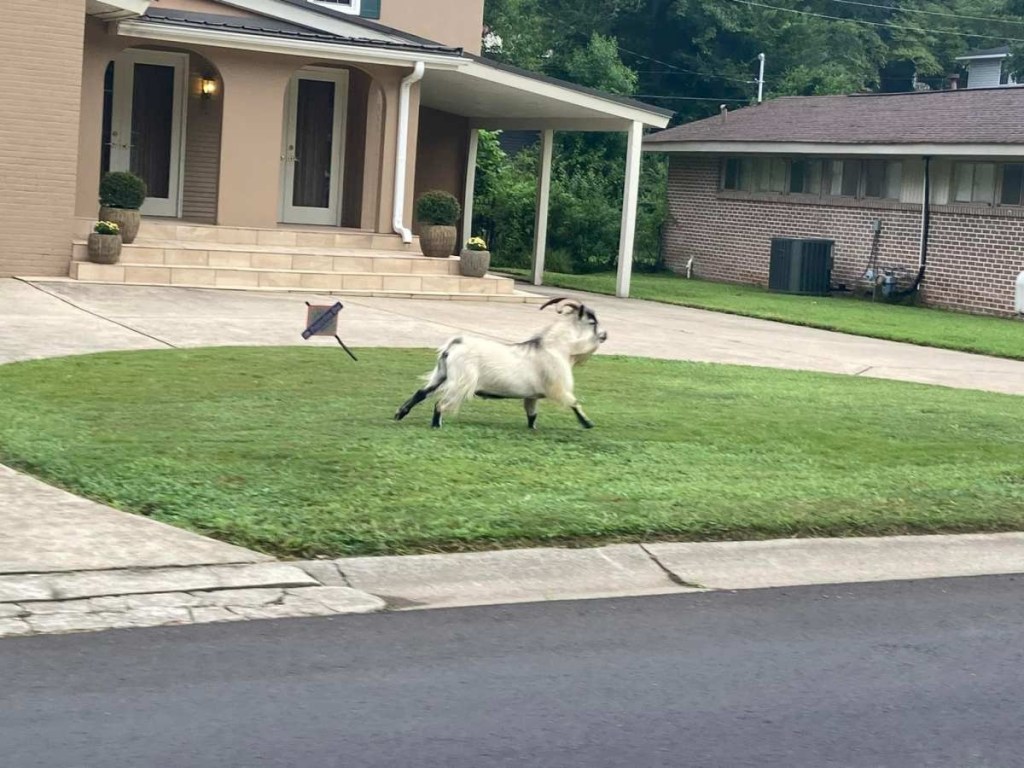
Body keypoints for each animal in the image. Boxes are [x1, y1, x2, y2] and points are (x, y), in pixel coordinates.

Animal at [393, 296, 606, 430]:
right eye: (592, 322)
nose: (604, 335)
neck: (559, 347)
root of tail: (454, 345)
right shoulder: (558, 387)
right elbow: (573, 402)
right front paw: (588, 424)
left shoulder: (532, 396)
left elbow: (532, 414)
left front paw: (533, 428)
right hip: (462, 381)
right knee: (440, 403)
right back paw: (436, 425)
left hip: (441, 373)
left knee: (421, 392)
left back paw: (399, 414)